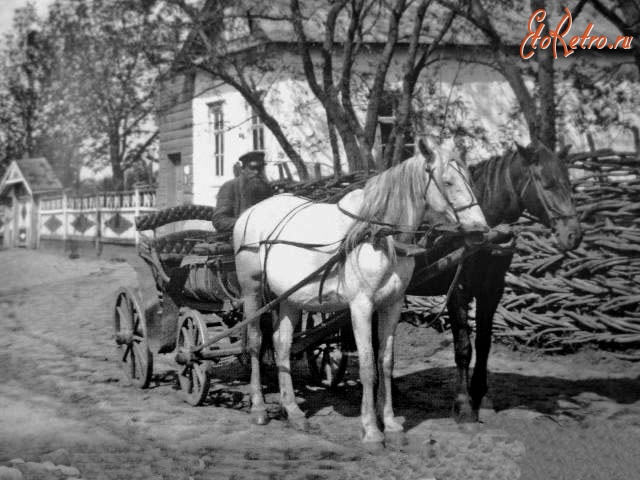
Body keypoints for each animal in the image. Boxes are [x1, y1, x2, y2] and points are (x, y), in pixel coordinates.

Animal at [235, 139, 490, 446]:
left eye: (469, 180)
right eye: (449, 181)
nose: (481, 230)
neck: (378, 236)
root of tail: (250, 212)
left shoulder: (392, 304)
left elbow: (386, 363)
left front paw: (390, 424)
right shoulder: (361, 305)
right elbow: (368, 364)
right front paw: (370, 429)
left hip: (289, 299)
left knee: (282, 344)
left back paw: (293, 410)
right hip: (251, 290)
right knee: (255, 342)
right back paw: (259, 408)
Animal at [408, 142, 584, 420]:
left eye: (568, 183)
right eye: (547, 184)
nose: (573, 235)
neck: (482, 230)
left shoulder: (491, 291)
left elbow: (484, 344)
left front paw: (482, 398)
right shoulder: (457, 292)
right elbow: (463, 347)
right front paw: (463, 404)